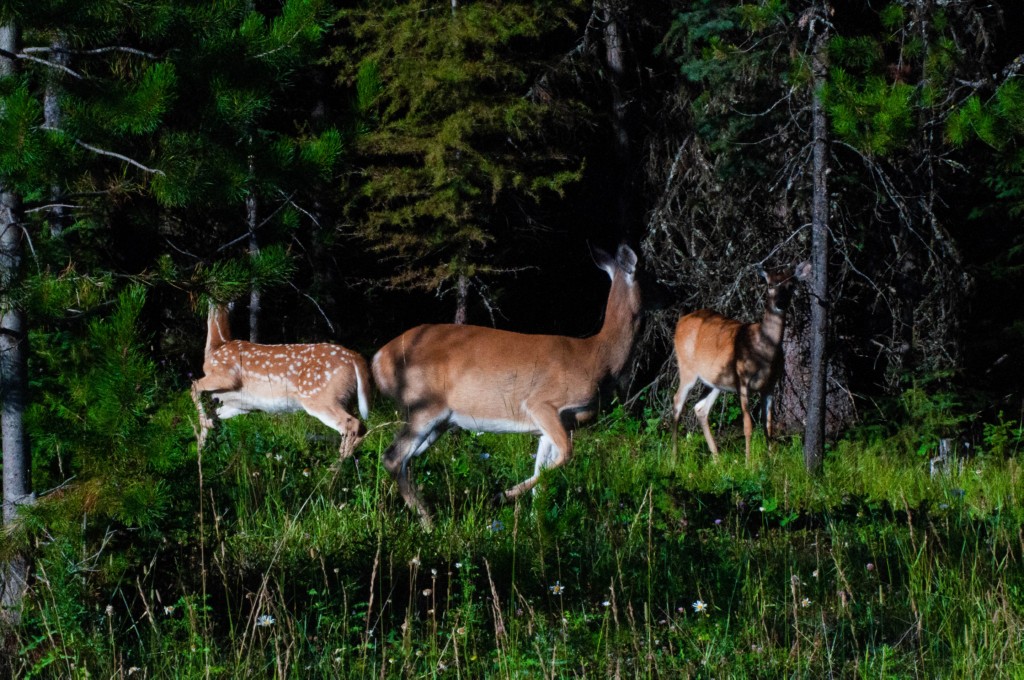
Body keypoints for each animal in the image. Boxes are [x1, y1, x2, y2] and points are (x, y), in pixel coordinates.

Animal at [190, 303, 372, 458]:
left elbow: (194, 387)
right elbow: (212, 417)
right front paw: (201, 450)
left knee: (351, 425)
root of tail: (355, 358)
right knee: (362, 428)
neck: (216, 347)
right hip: (345, 399)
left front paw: (200, 445)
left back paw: (334, 470)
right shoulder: (241, 406)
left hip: (320, 397)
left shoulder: (226, 375)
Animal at [372, 244, 642, 527]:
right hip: (423, 406)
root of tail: (378, 359)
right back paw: (429, 524)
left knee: (407, 461)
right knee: (393, 458)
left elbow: (543, 475)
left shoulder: (550, 428)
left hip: (440, 422)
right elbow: (567, 454)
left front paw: (534, 524)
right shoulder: (542, 403)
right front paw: (503, 495)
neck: (599, 356)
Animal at [671, 261, 811, 462]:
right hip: (687, 367)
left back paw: (717, 458)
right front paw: (748, 462)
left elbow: (768, 426)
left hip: (715, 381)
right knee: (677, 402)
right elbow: (748, 426)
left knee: (700, 408)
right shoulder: (743, 381)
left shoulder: (770, 386)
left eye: (790, 286)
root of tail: (681, 320)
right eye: (770, 285)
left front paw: (770, 460)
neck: (763, 350)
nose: (780, 304)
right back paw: (674, 458)